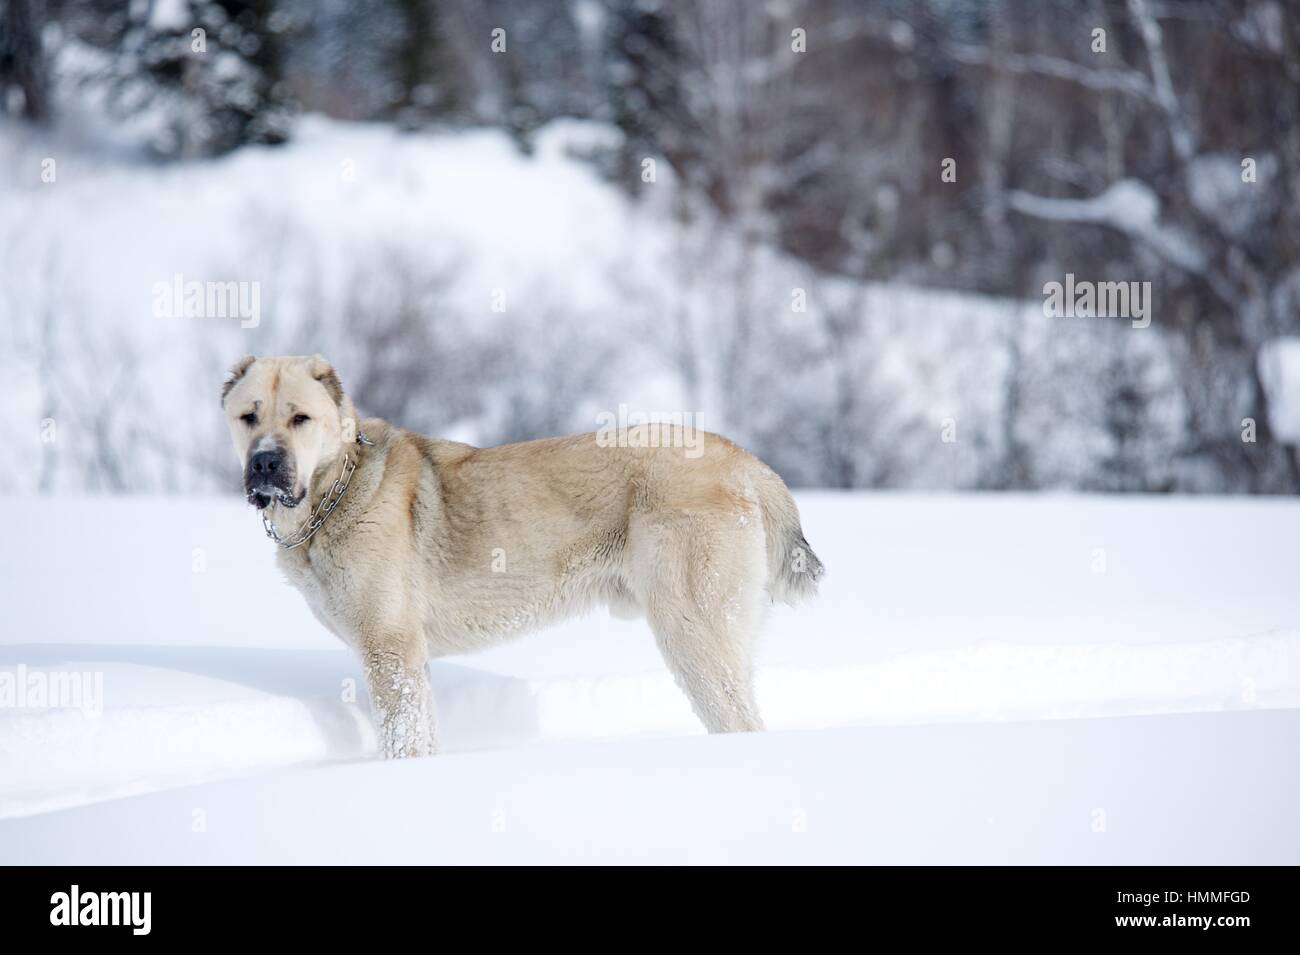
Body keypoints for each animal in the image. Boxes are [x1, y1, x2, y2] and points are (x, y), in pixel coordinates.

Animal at [222, 356, 821, 758]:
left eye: (300, 418)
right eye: (249, 416)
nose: (266, 464)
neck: (336, 489)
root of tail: (746, 462)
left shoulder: (389, 649)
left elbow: (403, 735)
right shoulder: (405, 657)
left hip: (693, 632)